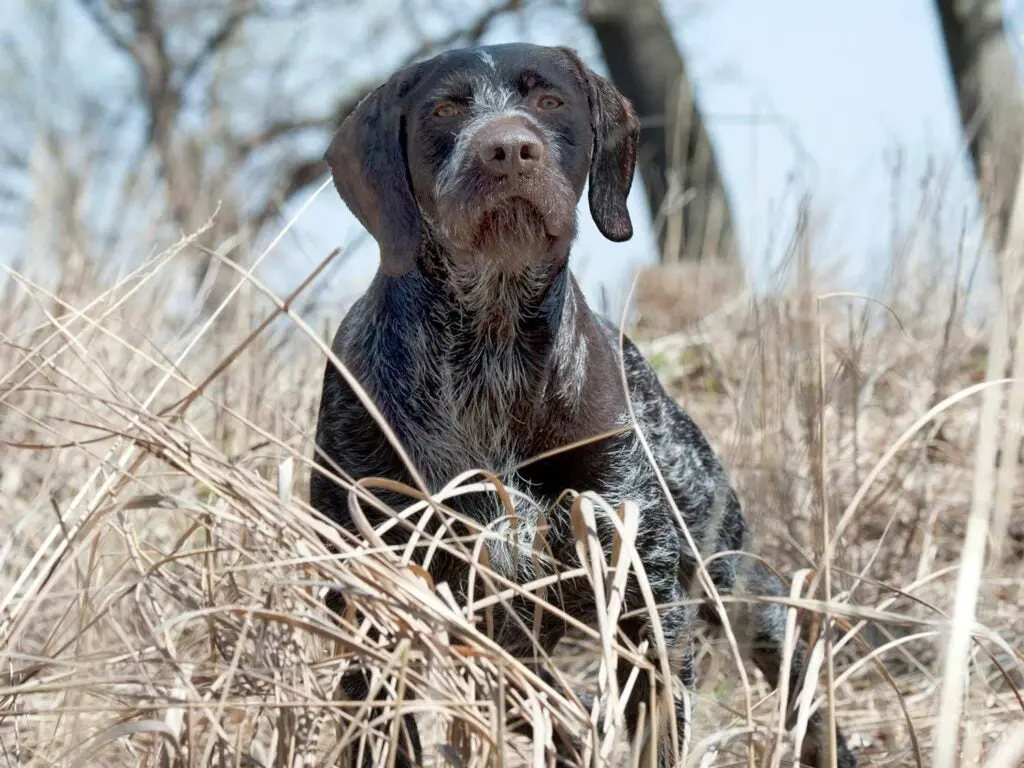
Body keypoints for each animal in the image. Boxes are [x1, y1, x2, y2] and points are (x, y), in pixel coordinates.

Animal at [307, 43, 860, 768]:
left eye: (550, 101)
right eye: (445, 109)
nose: (508, 150)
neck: (491, 349)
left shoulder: (645, 601)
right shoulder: (370, 603)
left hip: (732, 578)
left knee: (801, 682)